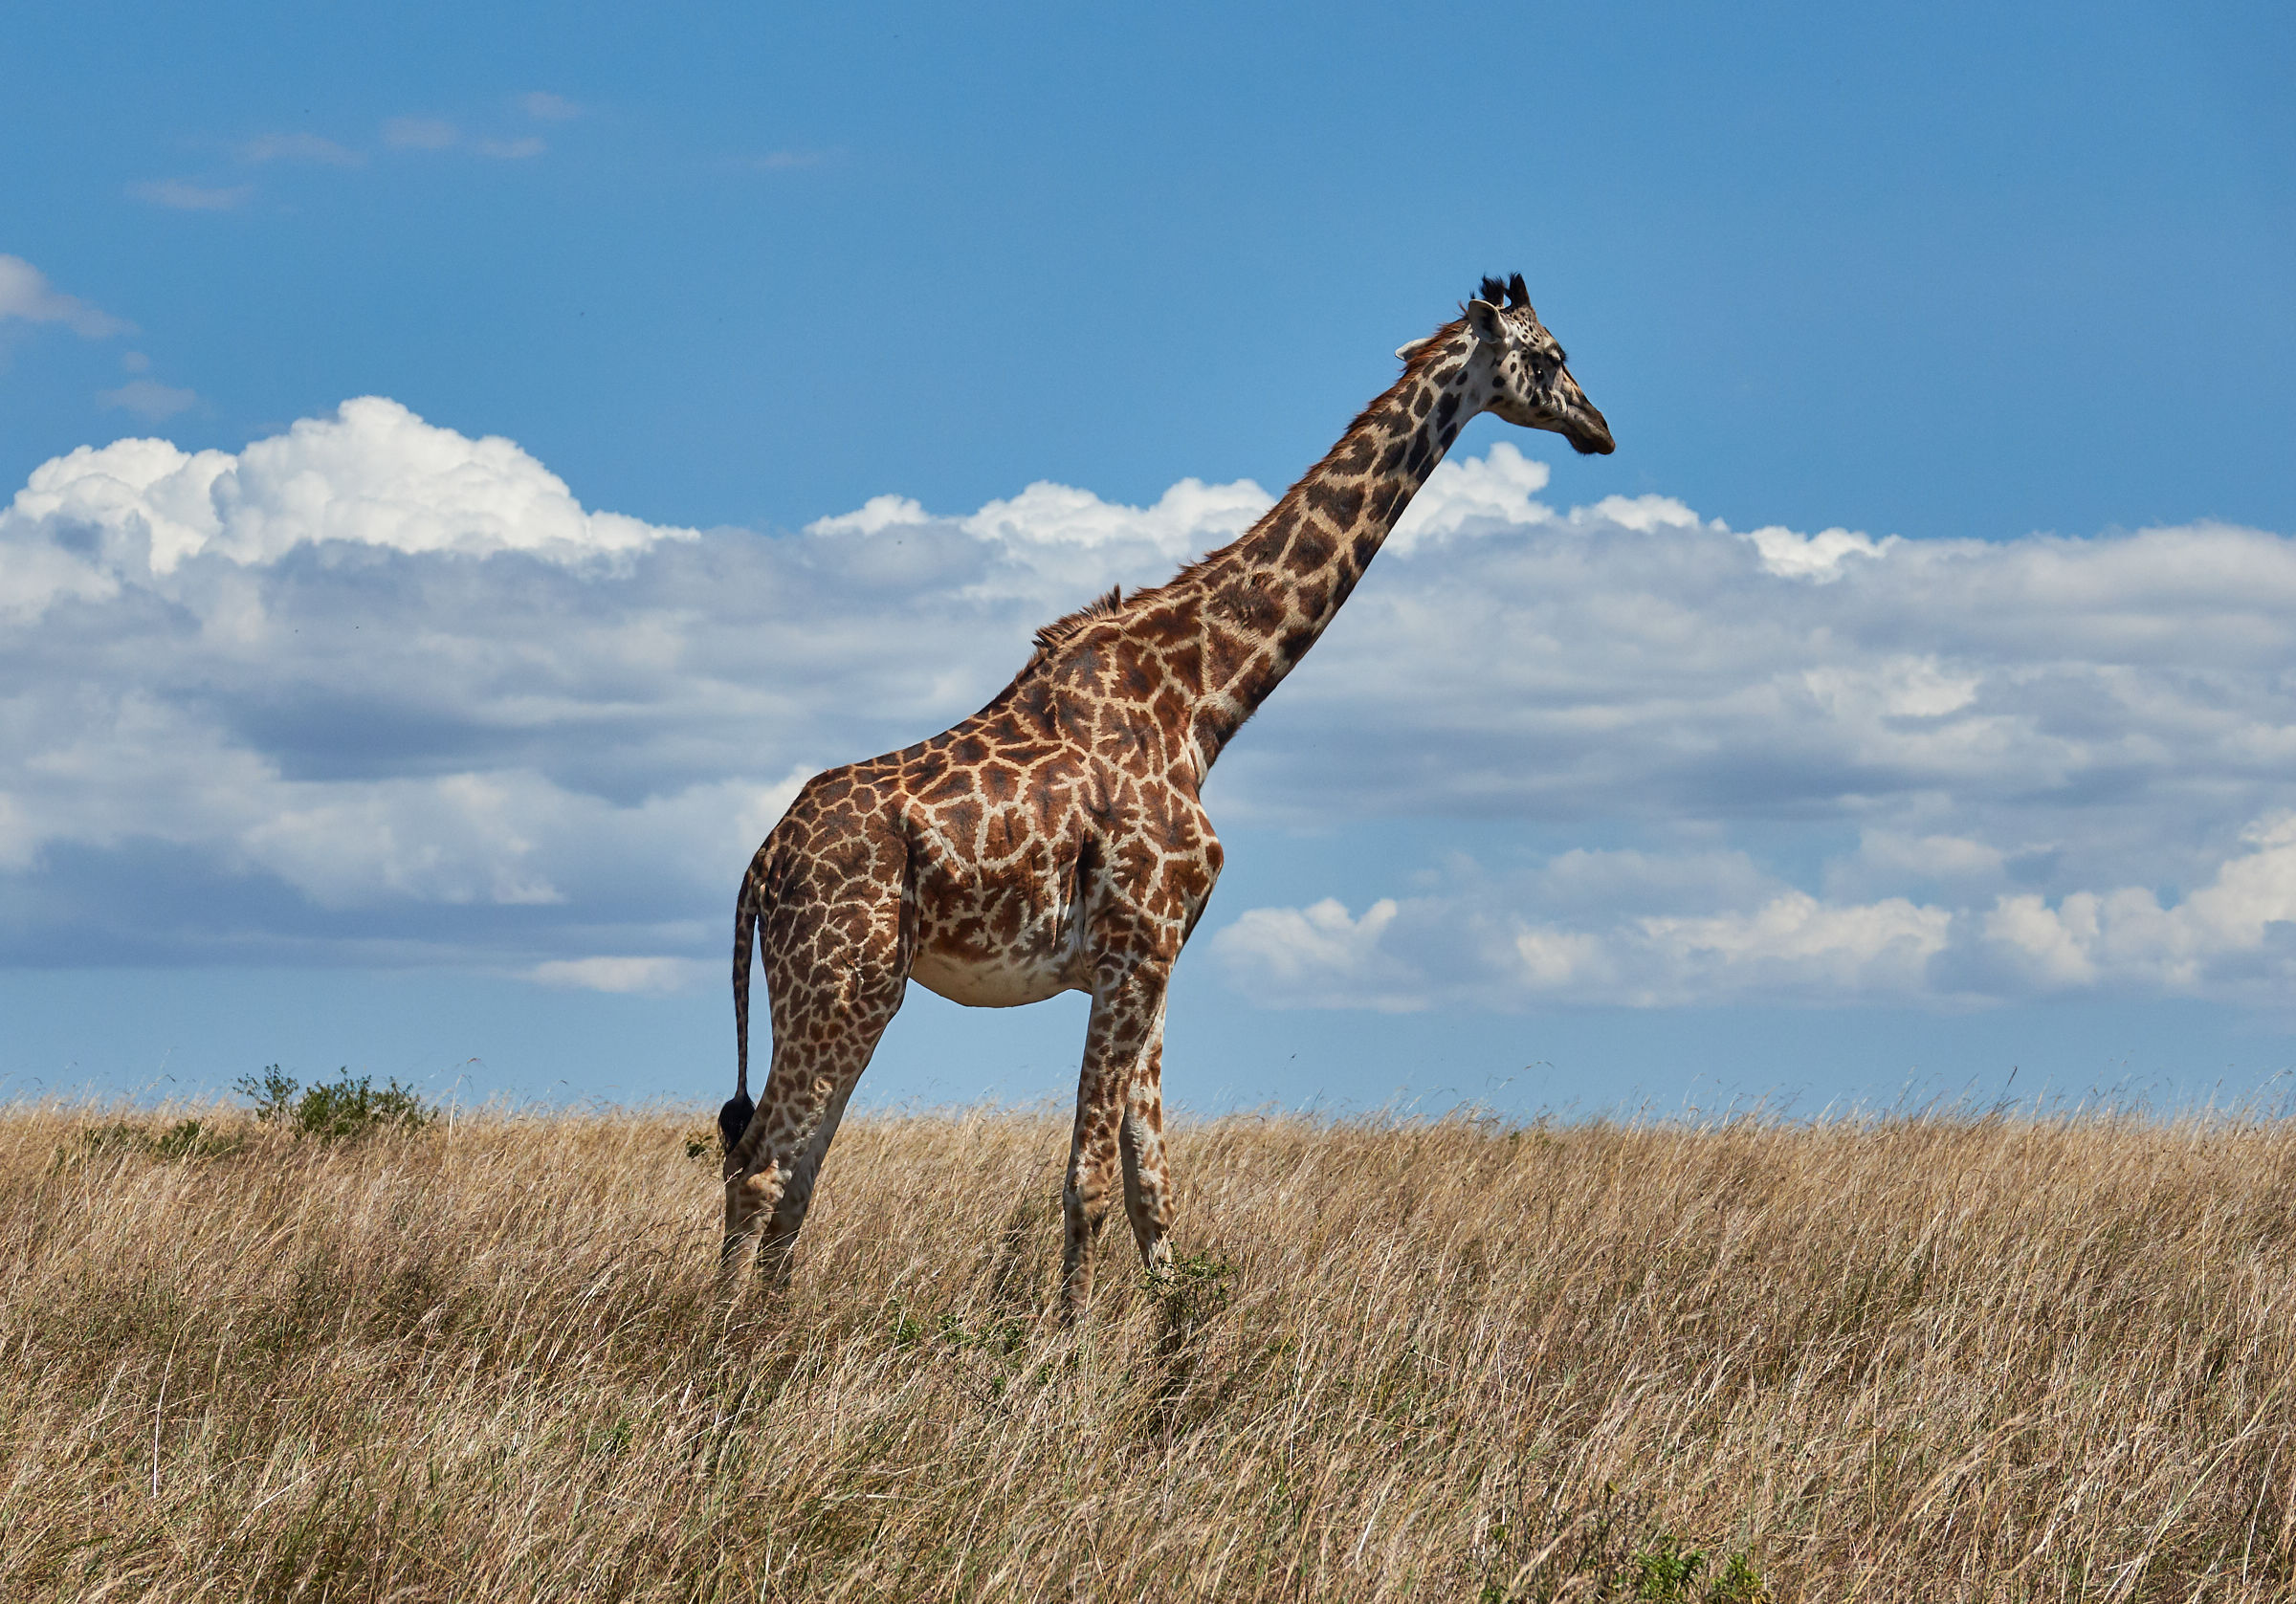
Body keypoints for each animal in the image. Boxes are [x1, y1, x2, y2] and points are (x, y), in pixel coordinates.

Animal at [721, 274, 1613, 1312]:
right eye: (1550, 356)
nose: (1600, 428)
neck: (1200, 699)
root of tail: (759, 868)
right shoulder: (1135, 949)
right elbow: (1090, 1181)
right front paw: (1065, 1349)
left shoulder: (1153, 958)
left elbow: (1153, 1184)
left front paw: (1171, 1346)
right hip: (841, 980)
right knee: (765, 1165)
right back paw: (735, 1343)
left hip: (848, 988)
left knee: (785, 1166)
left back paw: (773, 1332)